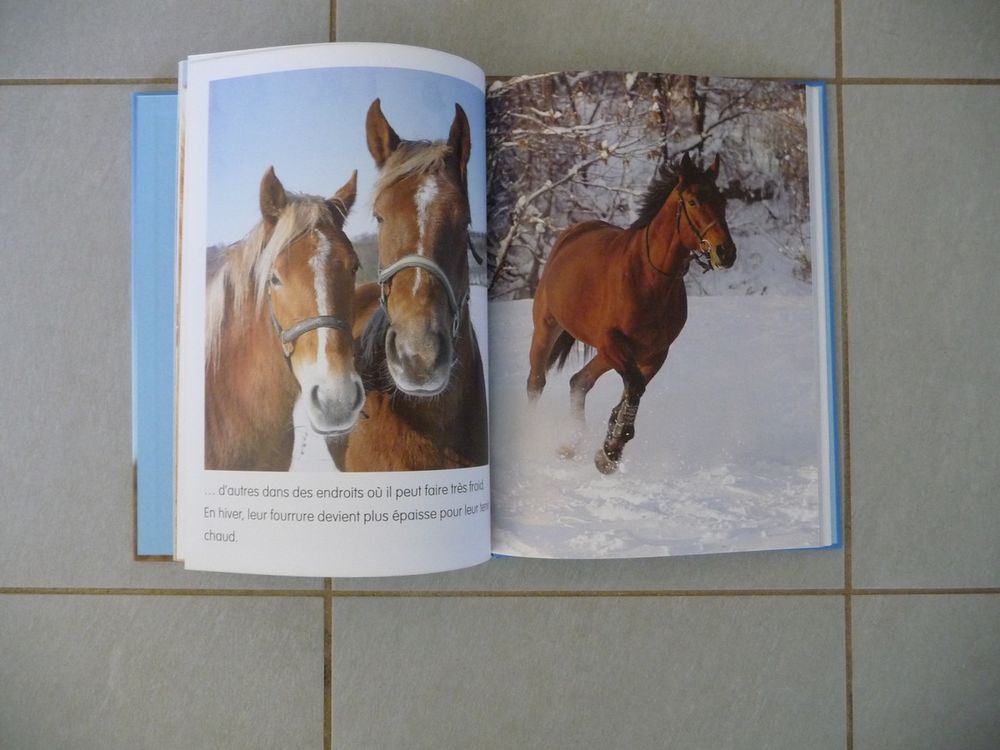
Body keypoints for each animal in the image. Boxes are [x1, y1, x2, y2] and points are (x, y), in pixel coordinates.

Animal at [526, 152, 737, 474]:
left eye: (722, 201)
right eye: (693, 202)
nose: (726, 252)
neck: (649, 278)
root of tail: (571, 234)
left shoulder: (653, 354)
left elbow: (632, 392)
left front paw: (609, 450)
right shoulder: (615, 344)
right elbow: (634, 388)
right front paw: (611, 450)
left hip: (606, 353)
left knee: (579, 382)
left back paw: (570, 444)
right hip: (547, 329)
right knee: (537, 383)